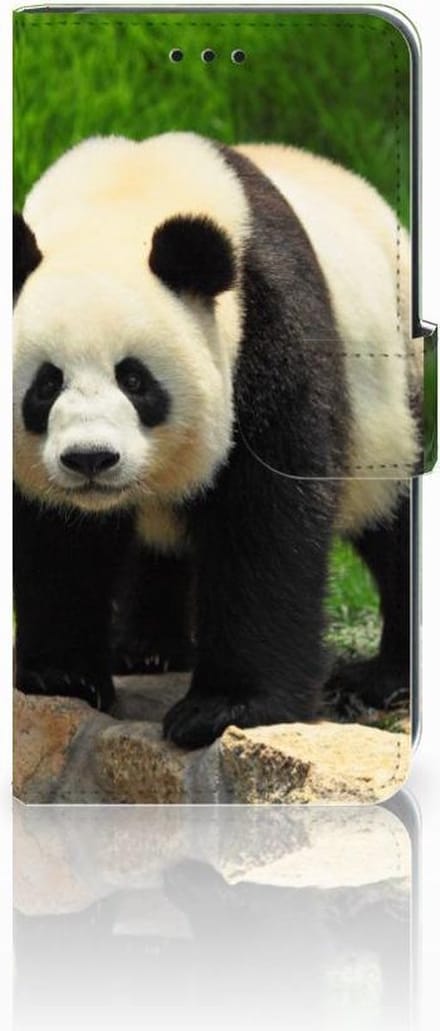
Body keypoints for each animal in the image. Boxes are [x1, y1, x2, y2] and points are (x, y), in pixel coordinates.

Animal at [13, 132, 421, 749]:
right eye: (46, 384)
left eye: (134, 380)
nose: (91, 459)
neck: (121, 201)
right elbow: (55, 535)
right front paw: (61, 675)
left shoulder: (266, 329)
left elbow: (267, 519)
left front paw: (227, 707)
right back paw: (148, 649)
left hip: (393, 404)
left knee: (393, 519)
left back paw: (384, 678)